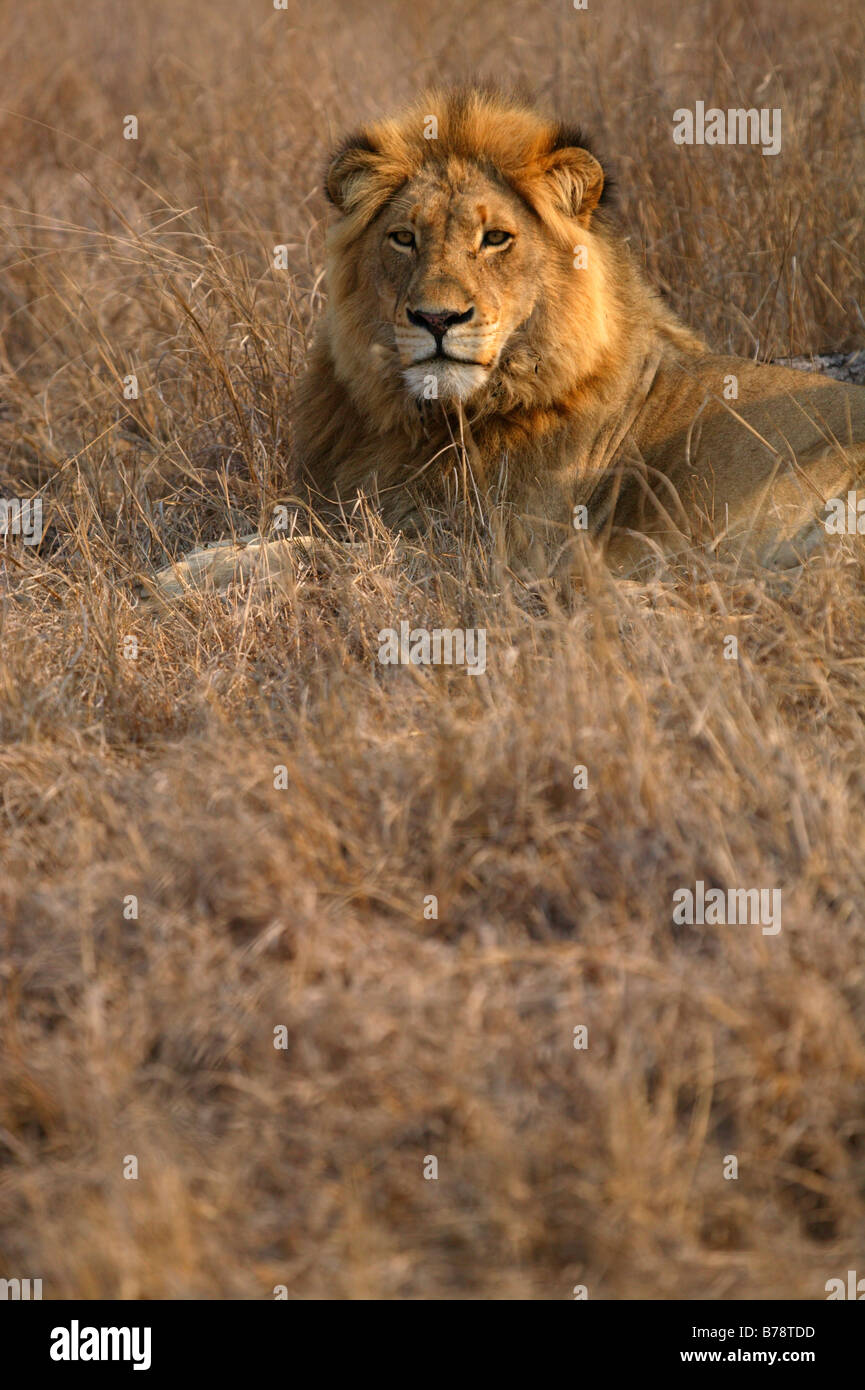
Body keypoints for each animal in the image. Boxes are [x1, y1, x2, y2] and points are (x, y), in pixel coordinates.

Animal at [148, 86, 865, 597]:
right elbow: (292, 528)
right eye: (403, 238)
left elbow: (331, 552)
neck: (430, 421)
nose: (437, 319)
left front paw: (189, 577)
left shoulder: (494, 553)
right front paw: (208, 554)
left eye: (495, 238)